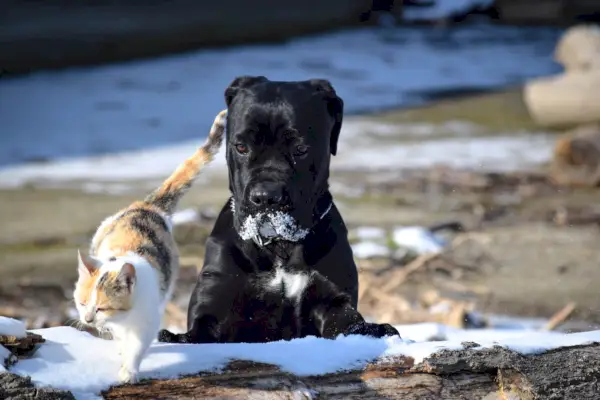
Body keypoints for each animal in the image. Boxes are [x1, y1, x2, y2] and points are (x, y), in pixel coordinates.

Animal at [73, 108, 227, 382]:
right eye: (81, 303)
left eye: (101, 307)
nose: (88, 320)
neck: (125, 316)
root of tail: (147, 206)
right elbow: (120, 339)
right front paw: (121, 353)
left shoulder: (147, 321)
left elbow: (136, 346)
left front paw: (129, 370)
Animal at [159, 76, 400, 344]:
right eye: (241, 147)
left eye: (300, 149)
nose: (265, 197)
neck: (279, 249)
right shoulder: (217, 295)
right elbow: (201, 328)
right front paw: (174, 338)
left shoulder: (332, 299)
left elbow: (347, 322)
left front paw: (374, 330)